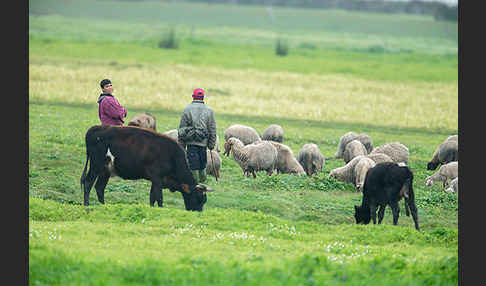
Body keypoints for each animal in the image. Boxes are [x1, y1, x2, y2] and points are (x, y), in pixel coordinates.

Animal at [79, 124, 213, 210]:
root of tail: (96, 128)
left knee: (99, 187)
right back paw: (86, 205)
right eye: (198, 198)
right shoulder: (157, 178)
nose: (198, 212)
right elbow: (159, 197)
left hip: (105, 170)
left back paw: (103, 205)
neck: (172, 156)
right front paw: (161, 209)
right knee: (88, 183)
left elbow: (152, 197)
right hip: (96, 165)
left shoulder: (156, 180)